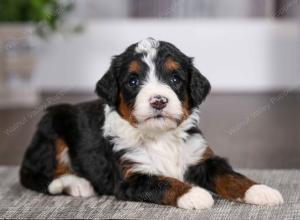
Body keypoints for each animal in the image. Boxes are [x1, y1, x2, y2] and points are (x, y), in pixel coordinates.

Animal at [19, 38, 284, 210]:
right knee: (35, 174)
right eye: (133, 81)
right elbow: (163, 182)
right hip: (52, 127)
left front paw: (261, 190)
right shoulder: (131, 176)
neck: (161, 136)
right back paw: (77, 184)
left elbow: (231, 176)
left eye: (175, 79)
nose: (158, 100)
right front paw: (194, 195)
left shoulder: (201, 158)